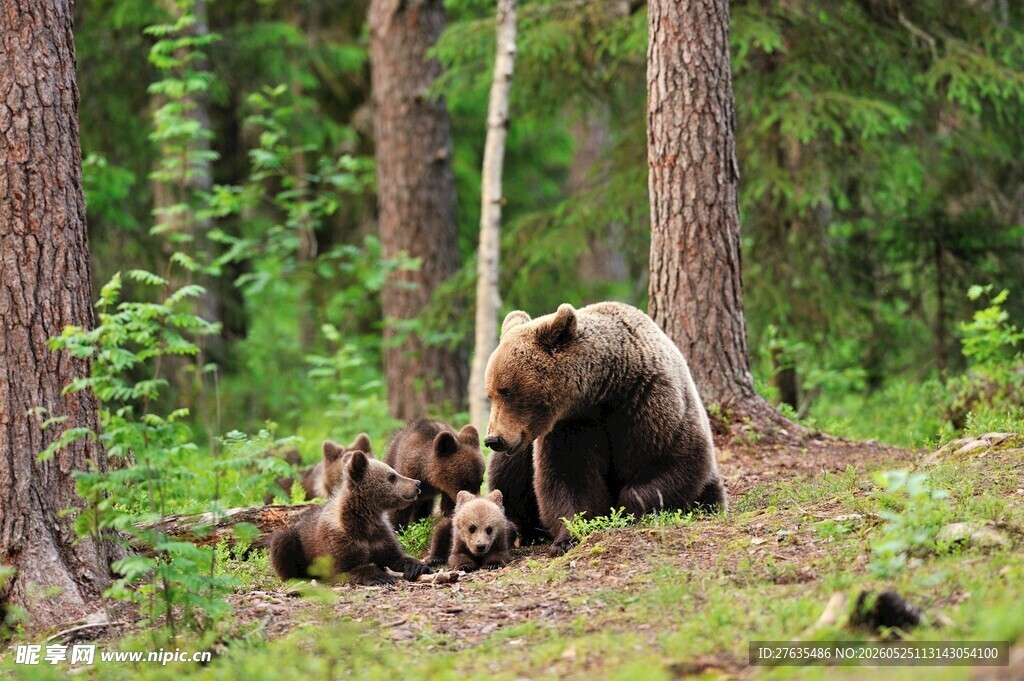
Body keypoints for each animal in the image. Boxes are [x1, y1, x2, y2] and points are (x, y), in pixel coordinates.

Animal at [268, 447, 432, 585]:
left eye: (395, 472)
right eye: (392, 476)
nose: (417, 483)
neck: (364, 519)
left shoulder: (380, 535)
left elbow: (395, 556)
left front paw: (417, 567)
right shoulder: (338, 539)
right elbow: (348, 568)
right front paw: (381, 576)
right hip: (295, 540)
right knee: (282, 543)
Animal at [483, 302, 726, 557]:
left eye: (506, 392)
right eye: (490, 394)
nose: (493, 439)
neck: (605, 391)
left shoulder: (649, 403)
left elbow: (672, 461)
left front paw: (626, 510)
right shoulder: (571, 427)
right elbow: (568, 477)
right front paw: (567, 537)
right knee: (508, 474)